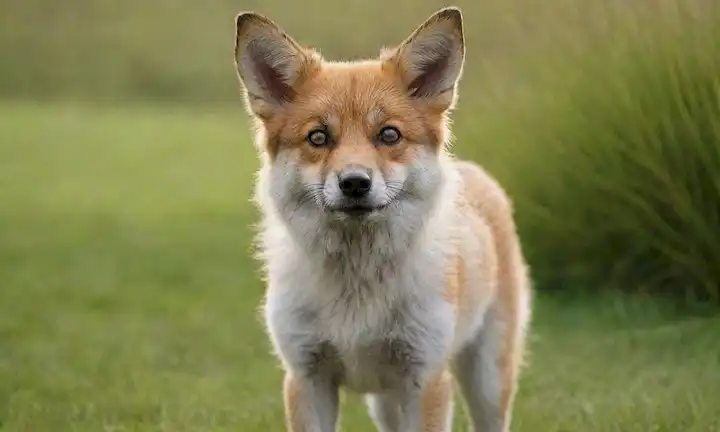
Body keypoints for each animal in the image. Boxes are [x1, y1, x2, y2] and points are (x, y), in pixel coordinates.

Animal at [232, 6, 532, 432]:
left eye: (389, 135)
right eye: (318, 137)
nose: (355, 183)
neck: (357, 295)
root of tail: (475, 171)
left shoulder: (424, 379)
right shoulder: (306, 377)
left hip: (487, 383)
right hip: (386, 403)